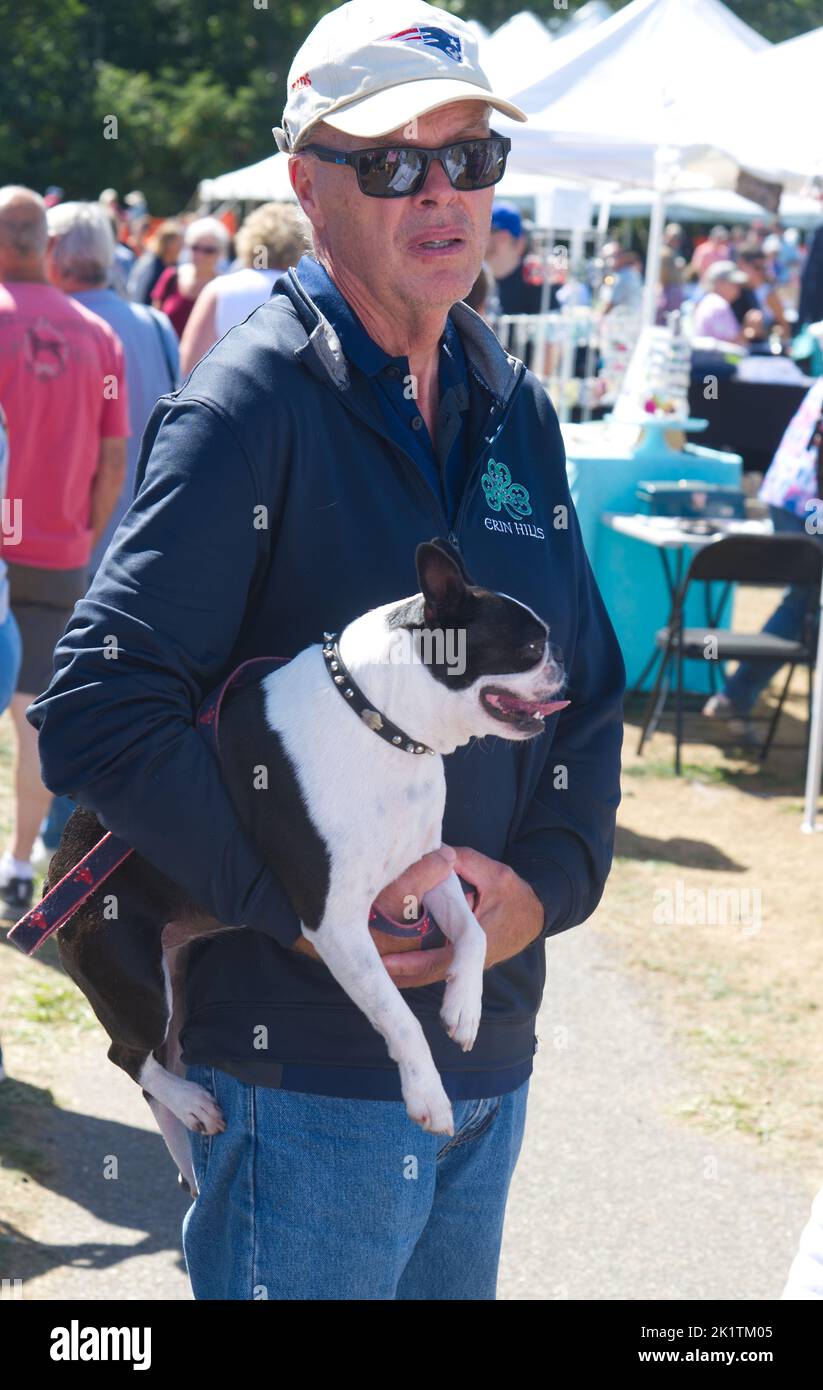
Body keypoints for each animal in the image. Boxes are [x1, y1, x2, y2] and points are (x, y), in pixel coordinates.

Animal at [45, 536, 567, 1189]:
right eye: (529, 649)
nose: (563, 663)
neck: (379, 722)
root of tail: (57, 879)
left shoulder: (427, 864)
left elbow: (472, 931)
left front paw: (463, 1007)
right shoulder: (337, 922)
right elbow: (398, 1016)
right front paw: (427, 1094)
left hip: (173, 978)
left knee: (162, 1061)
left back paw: (188, 1133)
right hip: (132, 974)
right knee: (127, 1055)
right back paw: (190, 1104)